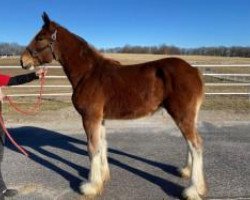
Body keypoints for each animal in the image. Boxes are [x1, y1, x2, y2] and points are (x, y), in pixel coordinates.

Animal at [20, 12, 207, 200]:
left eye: (40, 38)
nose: (23, 61)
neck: (88, 73)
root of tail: (194, 70)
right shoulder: (100, 119)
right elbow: (102, 144)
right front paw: (103, 177)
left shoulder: (90, 118)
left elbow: (92, 148)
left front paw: (91, 186)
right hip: (188, 116)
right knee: (190, 144)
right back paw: (185, 171)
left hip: (182, 115)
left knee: (196, 145)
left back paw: (193, 189)